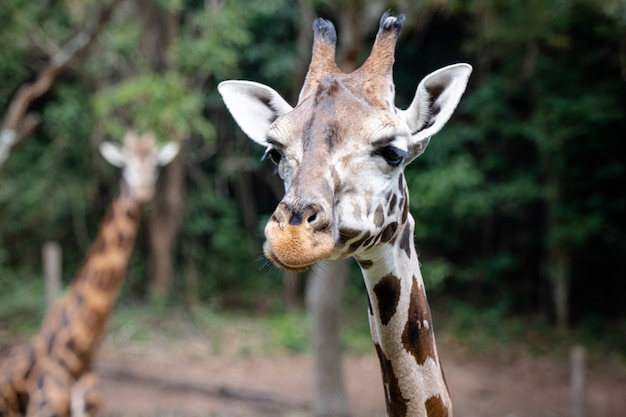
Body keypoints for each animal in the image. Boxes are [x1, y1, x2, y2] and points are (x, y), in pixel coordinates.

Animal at [0, 131, 178, 416]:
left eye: (156, 165)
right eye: (125, 165)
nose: (143, 191)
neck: (80, 357)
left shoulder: (92, 409)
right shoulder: (42, 410)